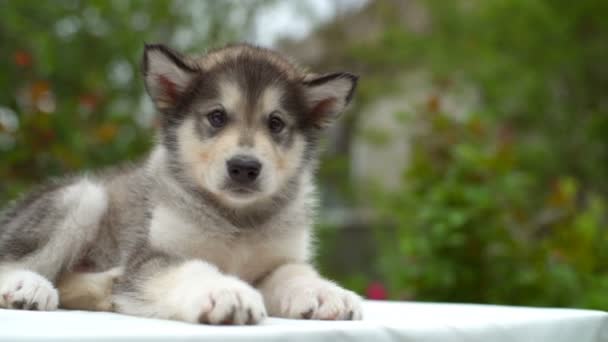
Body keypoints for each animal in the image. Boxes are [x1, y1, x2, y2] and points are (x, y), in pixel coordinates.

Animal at [0, 42, 360, 324]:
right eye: (217, 117)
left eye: (275, 123)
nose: (244, 167)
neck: (237, 220)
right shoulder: (154, 254)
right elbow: (191, 269)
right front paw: (225, 290)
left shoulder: (279, 260)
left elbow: (295, 273)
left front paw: (325, 292)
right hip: (83, 197)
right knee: (14, 259)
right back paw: (28, 286)